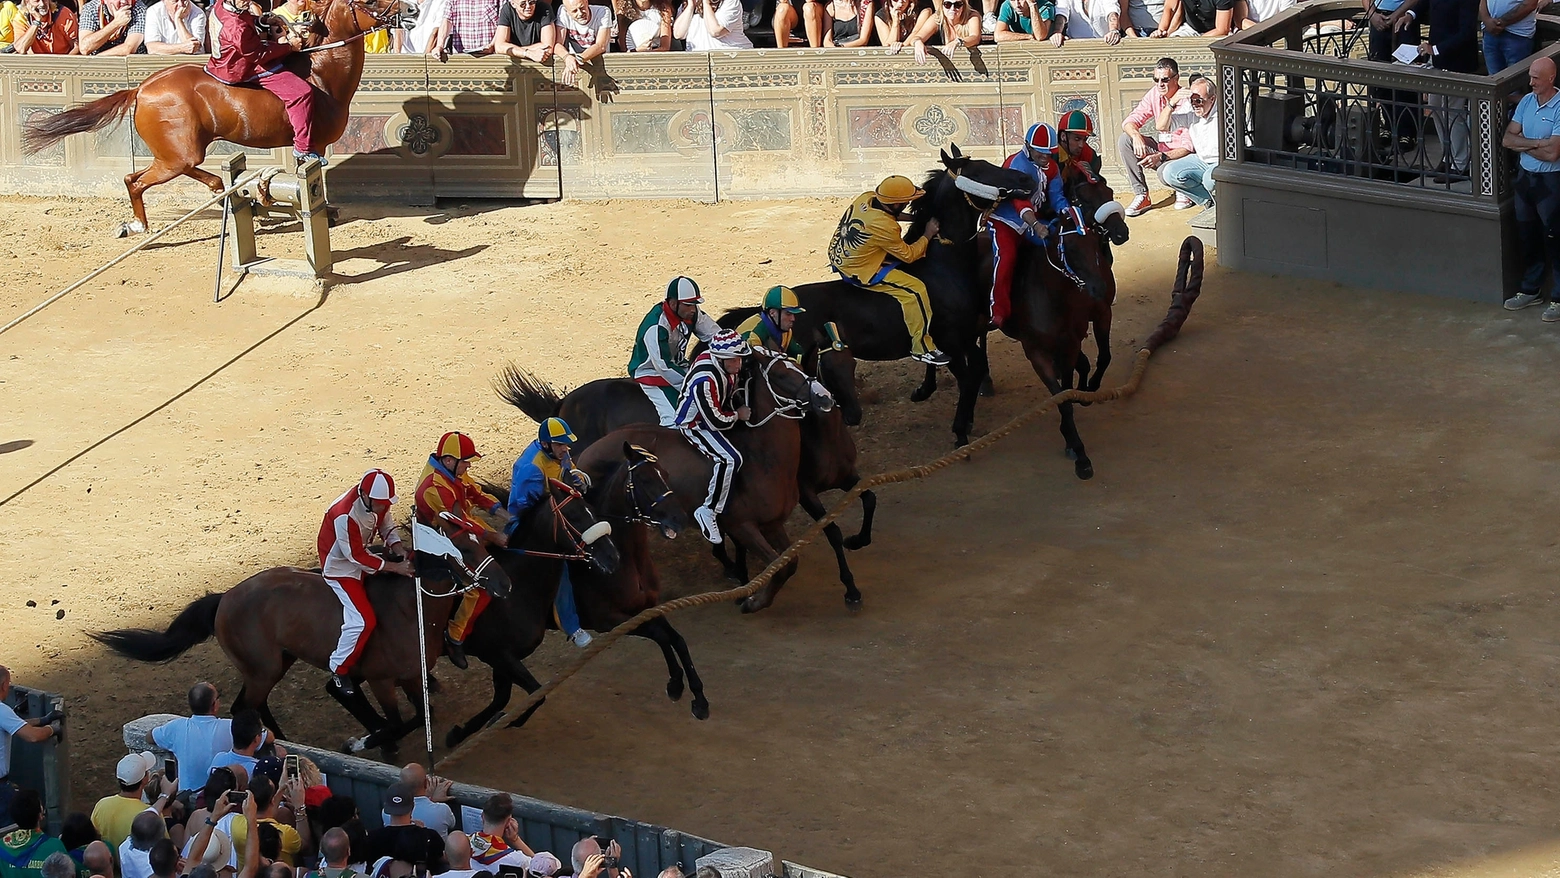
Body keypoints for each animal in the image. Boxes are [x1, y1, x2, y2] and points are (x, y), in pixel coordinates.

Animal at [22, 0, 402, 235]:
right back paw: (145, 223)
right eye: (370, 0)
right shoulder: (313, 144)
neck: (322, 73)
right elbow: (311, 176)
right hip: (178, 155)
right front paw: (327, 212)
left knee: (137, 177)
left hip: (175, 153)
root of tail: (141, 88)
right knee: (142, 181)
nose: (409, 9)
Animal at [89, 477, 614, 757]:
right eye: (460, 551)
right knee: (249, 705)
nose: (501, 586)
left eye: (482, 542)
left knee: (251, 705)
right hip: (264, 667)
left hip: (275, 663)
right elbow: (401, 721)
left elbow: (425, 713)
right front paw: (368, 741)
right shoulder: (387, 678)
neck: (413, 610)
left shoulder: (415, 673)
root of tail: (226, 597)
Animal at [446, 446, 702, 748]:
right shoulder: (608, 620)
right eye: (645, 480)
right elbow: (661, 636)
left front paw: (697, 697)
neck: (627, 562)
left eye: (665, 474)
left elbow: (676, 638)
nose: (679, 519)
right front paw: (676, 684)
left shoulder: (646, 607)